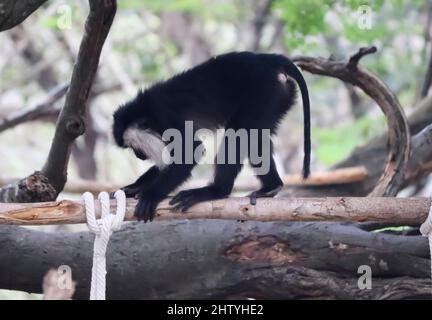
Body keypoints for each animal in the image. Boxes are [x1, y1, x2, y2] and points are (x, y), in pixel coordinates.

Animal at [112, 51, 310, 221]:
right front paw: (133, 187)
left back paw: (216, 191)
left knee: (238, 134)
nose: (139, 155)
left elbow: (189, 151)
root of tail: (269, 59)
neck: (143, 110)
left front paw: (151, 195)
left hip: (264, 92)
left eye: (134, 147)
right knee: (255, 137)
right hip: (280, 96)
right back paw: (271, 188)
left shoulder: (164, 117)